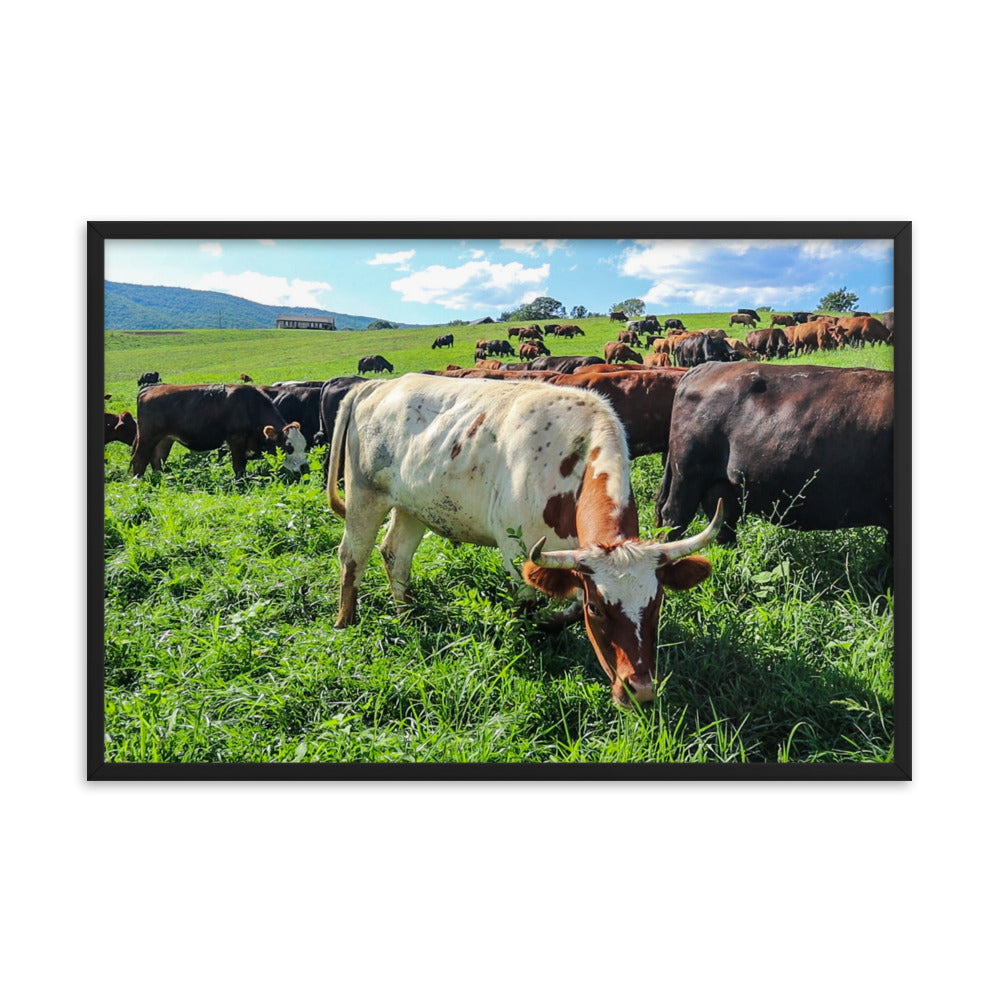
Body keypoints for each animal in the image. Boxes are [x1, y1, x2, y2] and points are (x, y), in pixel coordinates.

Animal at [129, 384, 309, 479]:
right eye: (288, 447)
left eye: (304, 445)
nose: (305, 468)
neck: (249, 406)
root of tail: (151, 388)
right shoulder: (236, 439)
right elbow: (239, 466)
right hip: (147, 437)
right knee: (139, 460)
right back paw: (138, 482)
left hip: (165, 439)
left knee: (157, 460)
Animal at [327, 373, 722, 706]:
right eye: (599, 609)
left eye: (657, 603)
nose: (639, 690)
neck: (572, 460)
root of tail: (378, 385)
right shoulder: (517, 552)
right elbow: (528, 607)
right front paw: (529, 641)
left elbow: (568, 606)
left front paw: (552, 623)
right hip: (364, 496)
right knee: (352, 557)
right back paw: (346, 622)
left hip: (411, 507)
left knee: (396, 555)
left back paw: (406, 614)